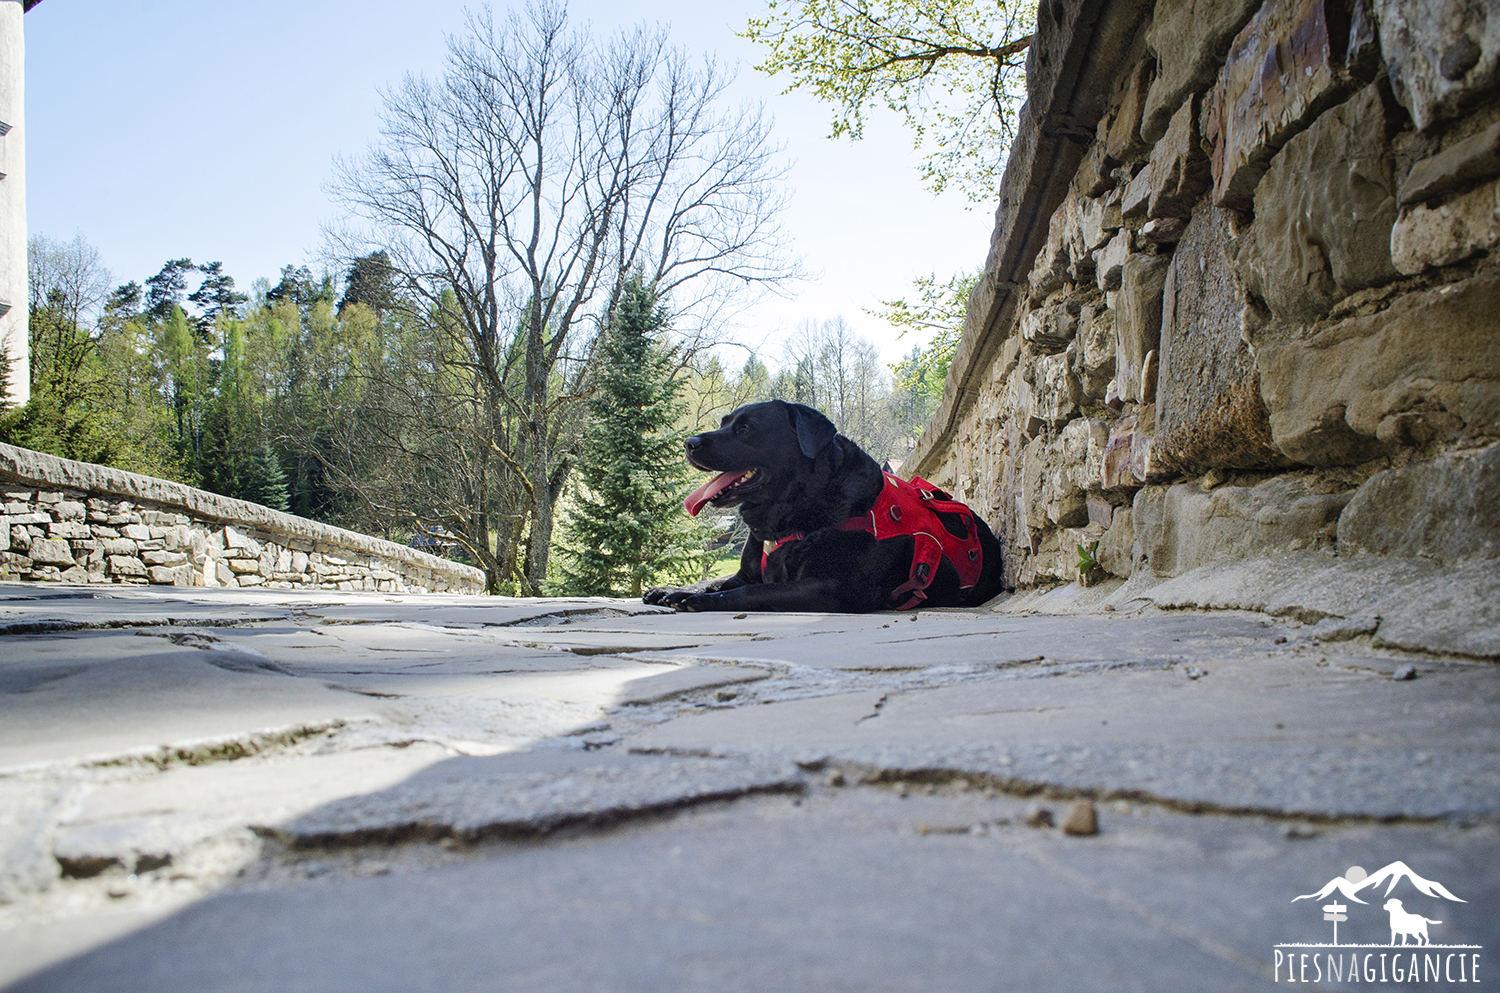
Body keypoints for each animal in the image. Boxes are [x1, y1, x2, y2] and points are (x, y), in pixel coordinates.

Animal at [645, 402, 1008, 612]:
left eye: (745, 428)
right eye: (724, 423)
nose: (689, 443)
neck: (794, 516)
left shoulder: (832, 588)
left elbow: (751, 592)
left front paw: (700, 600)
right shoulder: (744, 572)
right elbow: (719, 580)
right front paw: (674, 590)